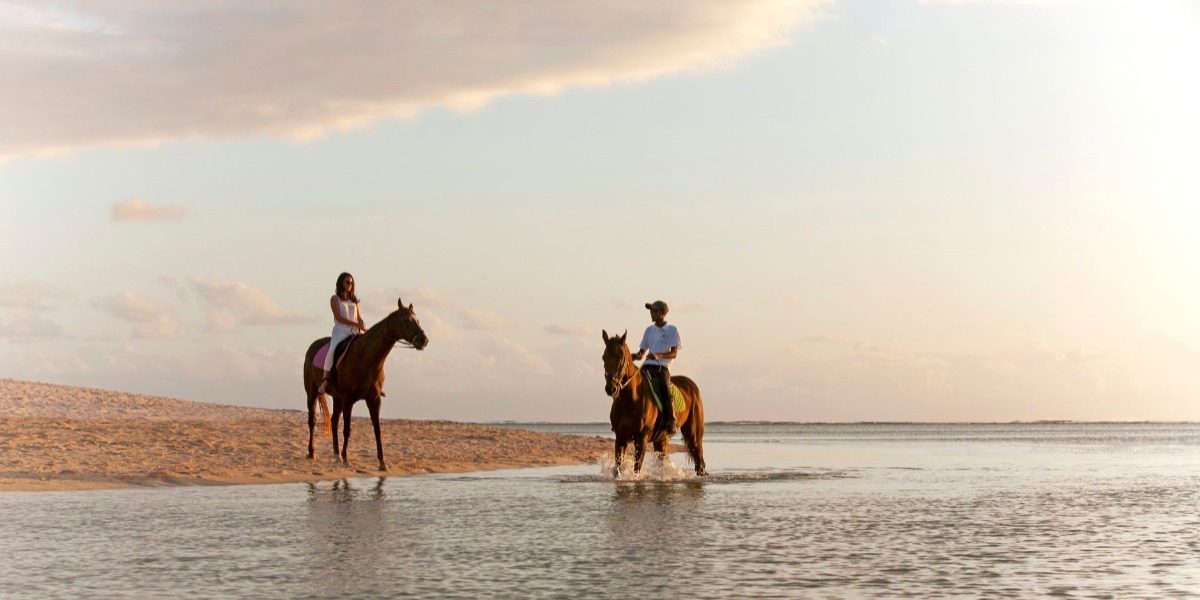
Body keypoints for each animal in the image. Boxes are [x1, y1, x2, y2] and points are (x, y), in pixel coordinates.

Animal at [302, 297, 429, 470]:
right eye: (406, 320)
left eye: (417, 319)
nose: (424, 340)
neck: (366, 357)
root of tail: (312, 347)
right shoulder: (349, 399)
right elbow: (347, 429)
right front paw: (346, 457)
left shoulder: (374, 399)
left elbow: (377, 430)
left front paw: (382, 462)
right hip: (313, 393)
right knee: (312, 421)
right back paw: (312, 453)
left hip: (337, 397)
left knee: (334, 421)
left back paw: (336, 455)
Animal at [600, 331, 700, 475]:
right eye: (604, 357)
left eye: (621, 356)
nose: (611, 388)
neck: (629, 400)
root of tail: (692, 385)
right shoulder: (621, 438)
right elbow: (618, 468)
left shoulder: (641, 439)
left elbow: (636, 469)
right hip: (662, 440)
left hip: (693, 436)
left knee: (700, 461)